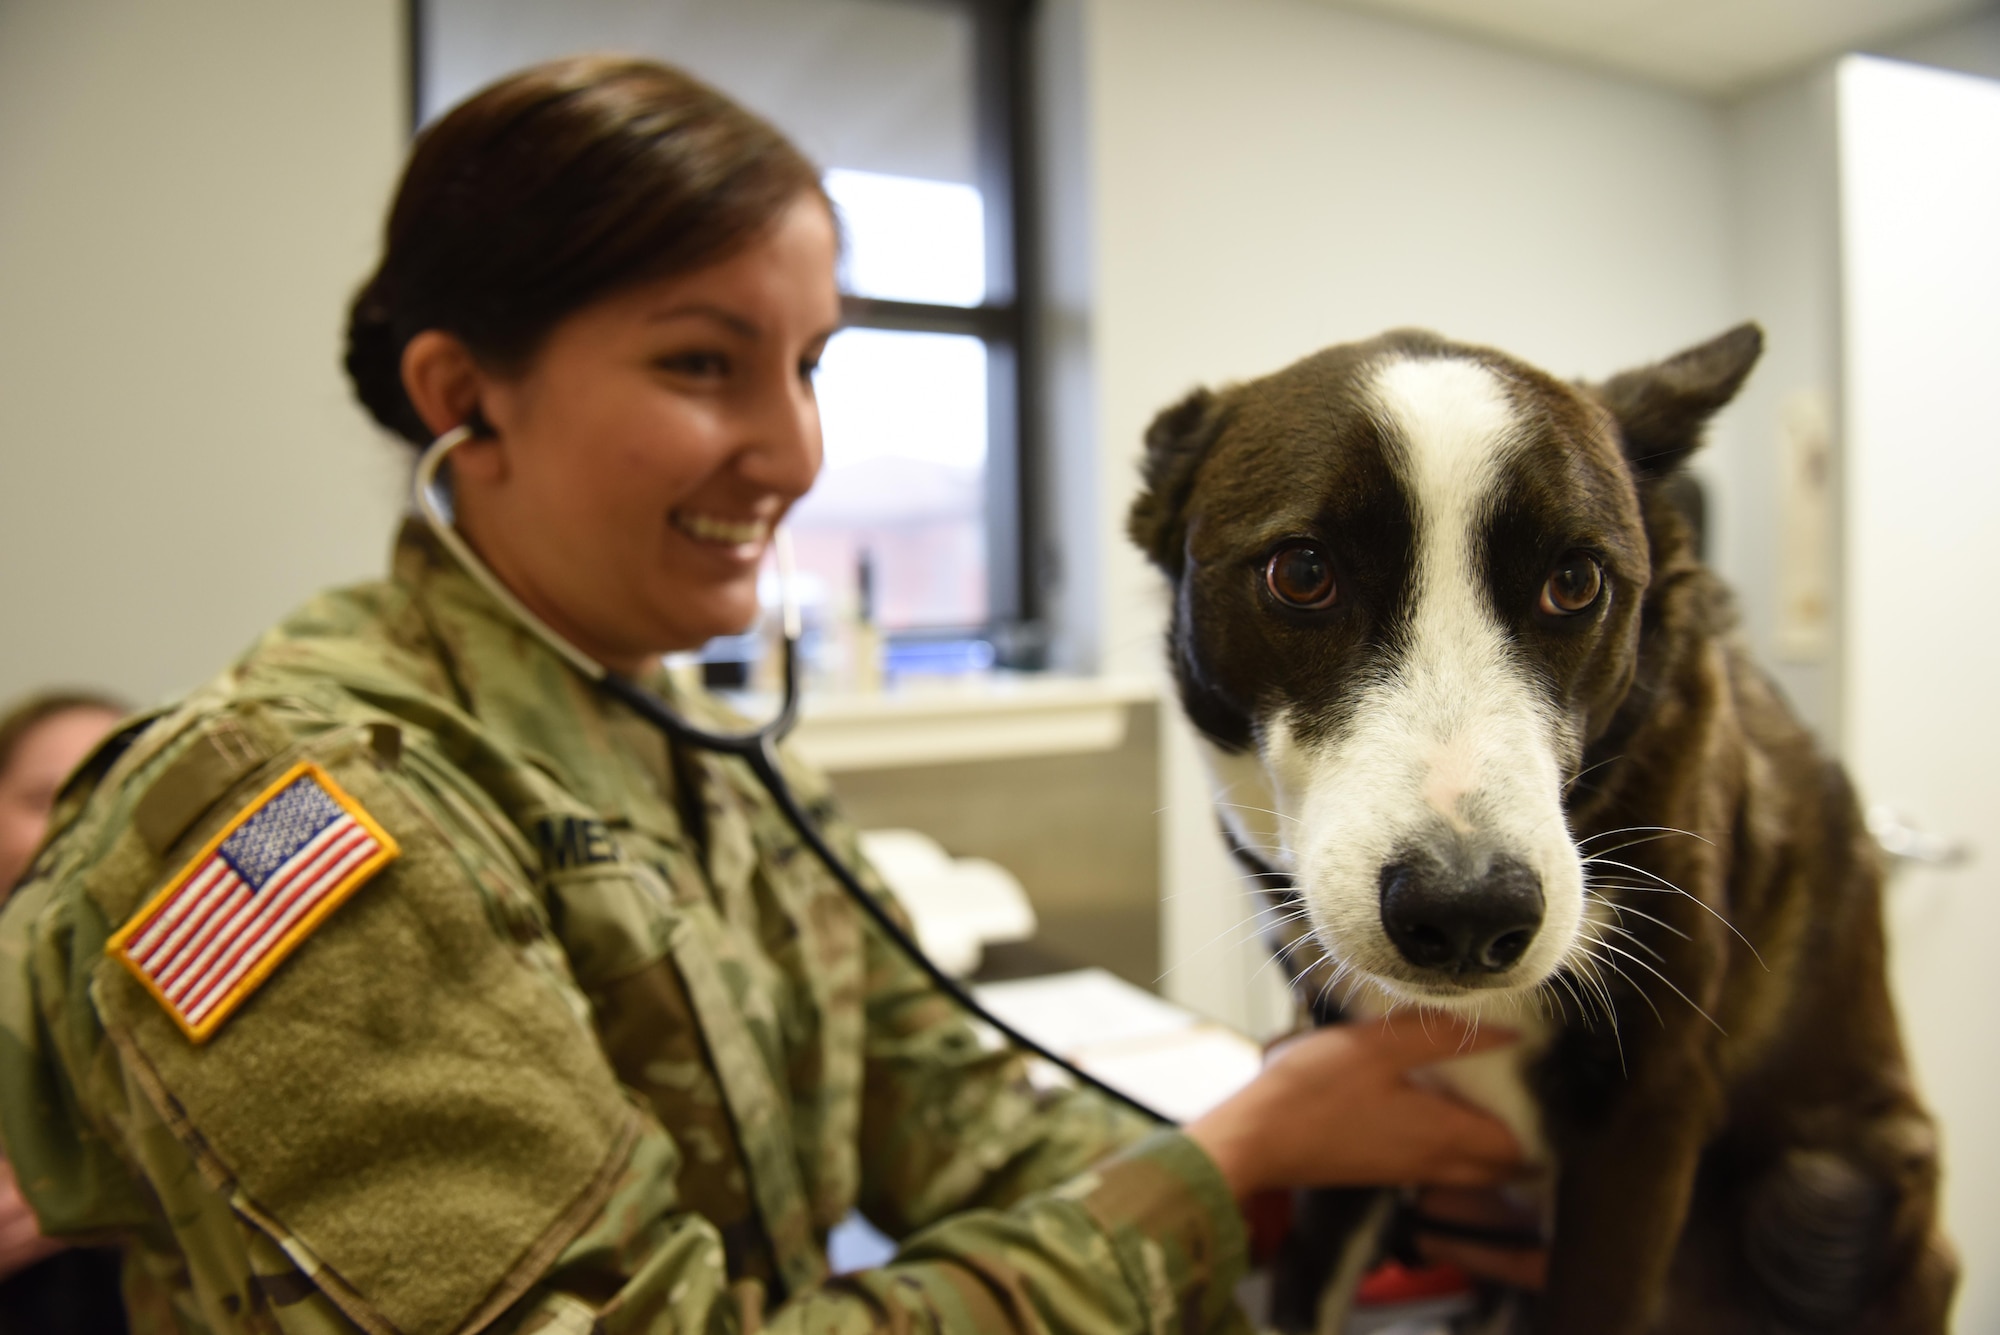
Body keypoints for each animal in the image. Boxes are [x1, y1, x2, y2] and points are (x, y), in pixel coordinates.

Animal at [1136, 325, 1944, 1335]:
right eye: (1303, 573)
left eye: (1576, 582)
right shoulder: (1350, 1086)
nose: (1468, 913)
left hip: (1822, 1192)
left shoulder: (1649, 1108)